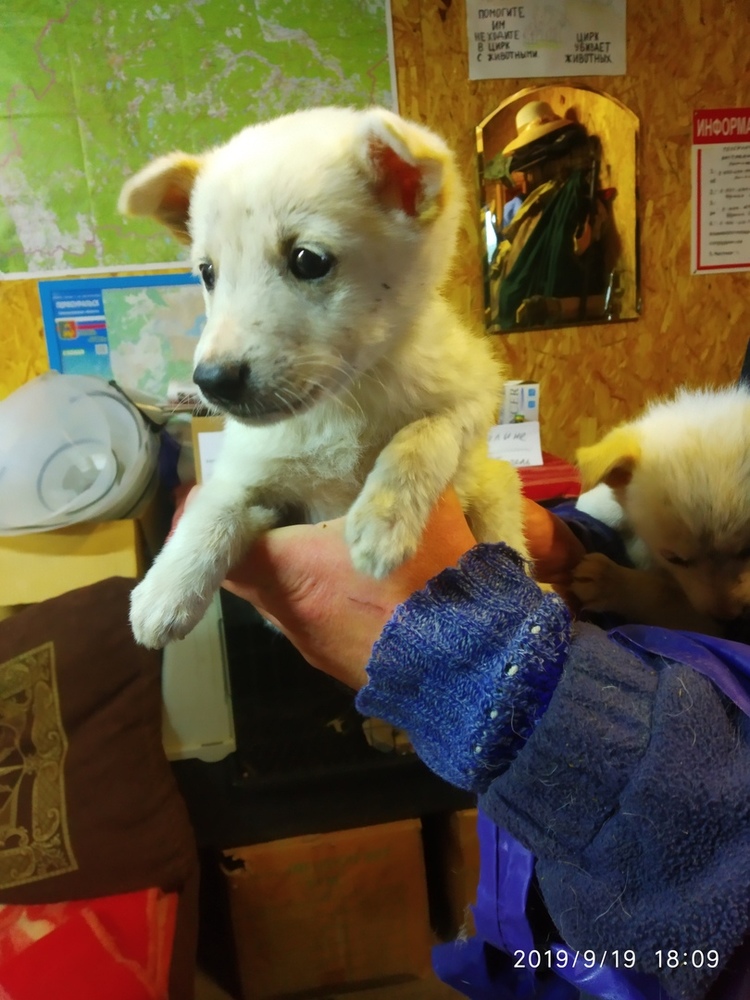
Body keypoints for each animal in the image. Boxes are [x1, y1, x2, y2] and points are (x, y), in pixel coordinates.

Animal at [119, 106, 528, 649]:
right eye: (207, 272)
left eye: (307, 260)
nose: (212, 381)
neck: (340, 404)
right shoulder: (254, 469)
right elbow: (218, 501)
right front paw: (168, 586)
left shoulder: (474, 394)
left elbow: (423, 435)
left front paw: (383, 518)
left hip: (493, 483)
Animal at [570, 385, 750, 636]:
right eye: (674, 559)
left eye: (748, 551)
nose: (727, 618)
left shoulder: (704, 623)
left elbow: (665, 596)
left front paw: (612, 581)